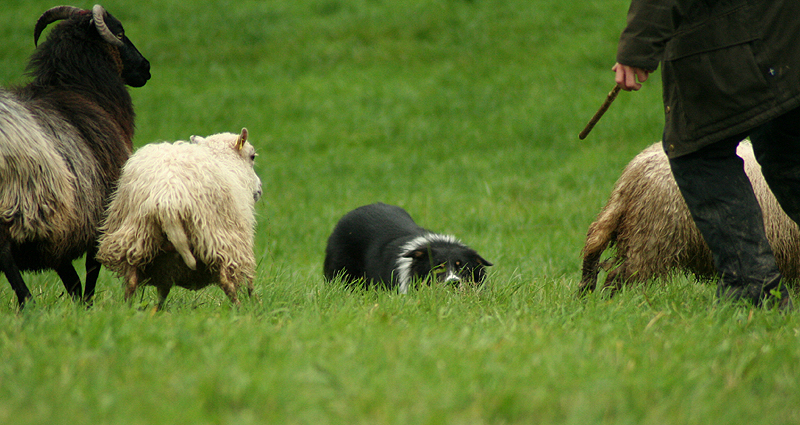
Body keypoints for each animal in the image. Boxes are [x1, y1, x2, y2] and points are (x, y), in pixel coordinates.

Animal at [0, 4, 151, 306]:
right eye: (120, 33)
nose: (146, 67)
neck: (84, 92)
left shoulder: (62, 227)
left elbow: (70, 276)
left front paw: (78, 303)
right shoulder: (98, 213)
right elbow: (91, 267)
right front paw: (88, 304)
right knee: (5, 255)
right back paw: (28, 302)